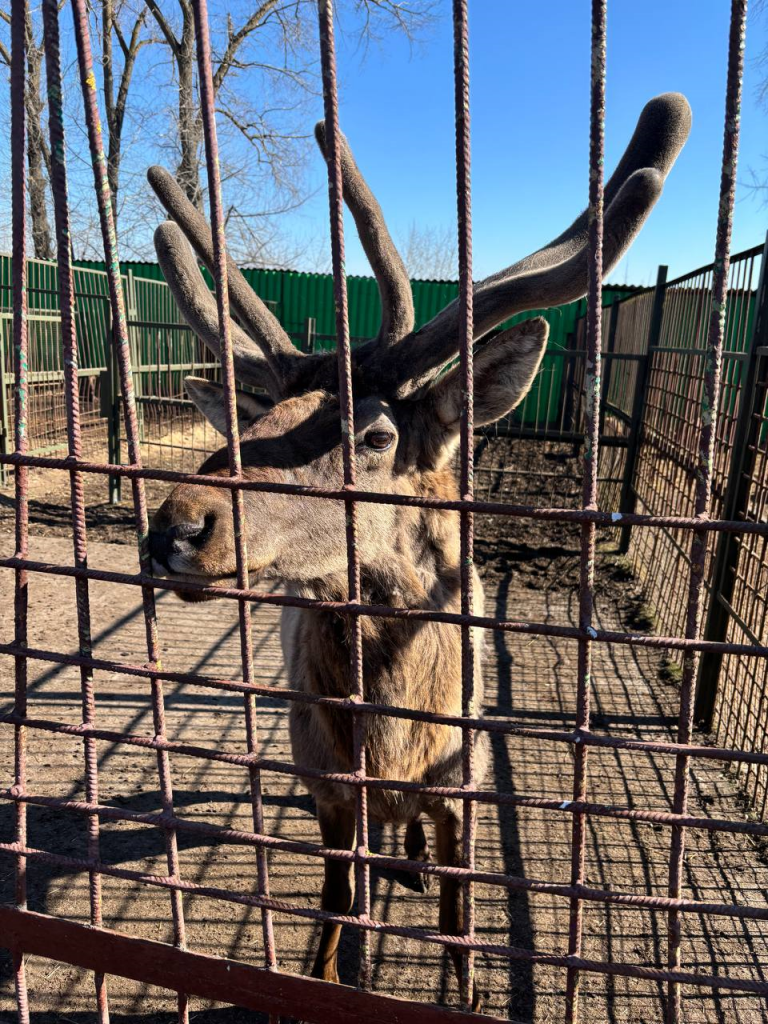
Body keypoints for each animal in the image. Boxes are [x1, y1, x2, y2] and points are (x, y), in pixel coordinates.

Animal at [147, 92, 690, 1008]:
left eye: (374, 434)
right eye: (254, 420)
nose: (177, 527)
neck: (395, 745)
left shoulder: (462, 784)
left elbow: (459, 915)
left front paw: (465, 985)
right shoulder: (328, 788)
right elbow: (334, 918)